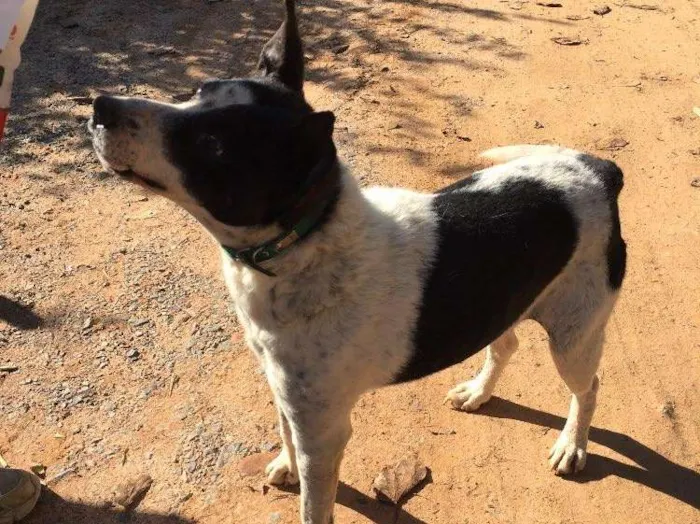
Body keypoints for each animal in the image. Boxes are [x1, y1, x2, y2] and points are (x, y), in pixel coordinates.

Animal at [85, 2, 628, 520]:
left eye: (211, 145)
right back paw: (478, 392)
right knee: (506, 344)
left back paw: (572, 445)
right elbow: (284, 434)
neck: (305, 240)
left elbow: (314, 506)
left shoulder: (323, 433)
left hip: (574, 338)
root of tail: (600, 169)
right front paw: (284, 466)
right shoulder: (287, 395)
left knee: (590, 387)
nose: (100, 105)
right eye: (195, 92)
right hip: (506, 301)